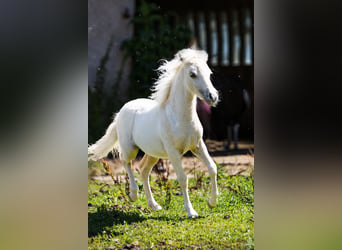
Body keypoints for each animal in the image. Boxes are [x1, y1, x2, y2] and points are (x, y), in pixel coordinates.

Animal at [89, 48, 219, 217]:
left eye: (209, 73)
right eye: (192, 74)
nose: (213, 97)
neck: (179, 117)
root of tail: (122, 110)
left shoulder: (197, 146)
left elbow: (212, 168)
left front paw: (212, 202)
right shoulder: (173, 152)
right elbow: (183, 178)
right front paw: (191, 212)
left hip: (153, 153)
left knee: (143, 170)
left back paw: (154, 205)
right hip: (130, 148)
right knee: (125, 161)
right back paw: (133, 195)